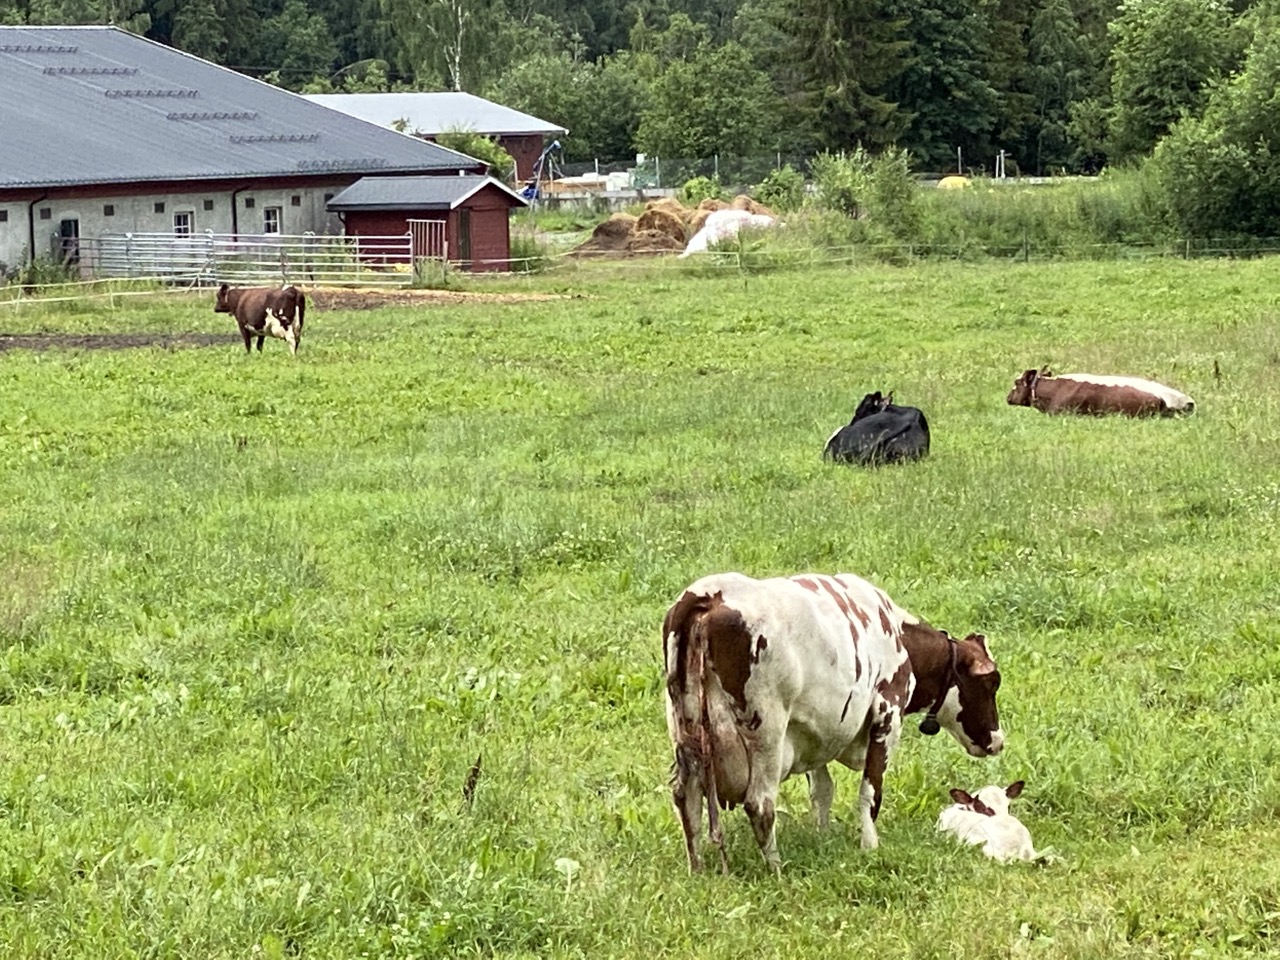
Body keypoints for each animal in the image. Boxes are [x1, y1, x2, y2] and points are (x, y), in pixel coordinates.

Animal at [665, 576, 1003, 875]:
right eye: (991, 683)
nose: (997, 741)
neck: (899, 638)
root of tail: (708, 596)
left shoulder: (813, 731)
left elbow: (823, 790)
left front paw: (823, 837)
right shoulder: (886, 714)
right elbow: (870, 792)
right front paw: (870, 846)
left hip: (685, 731)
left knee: (686, 798)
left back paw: (697, 869)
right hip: (766, 732)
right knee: (760, 804)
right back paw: (776, 870)